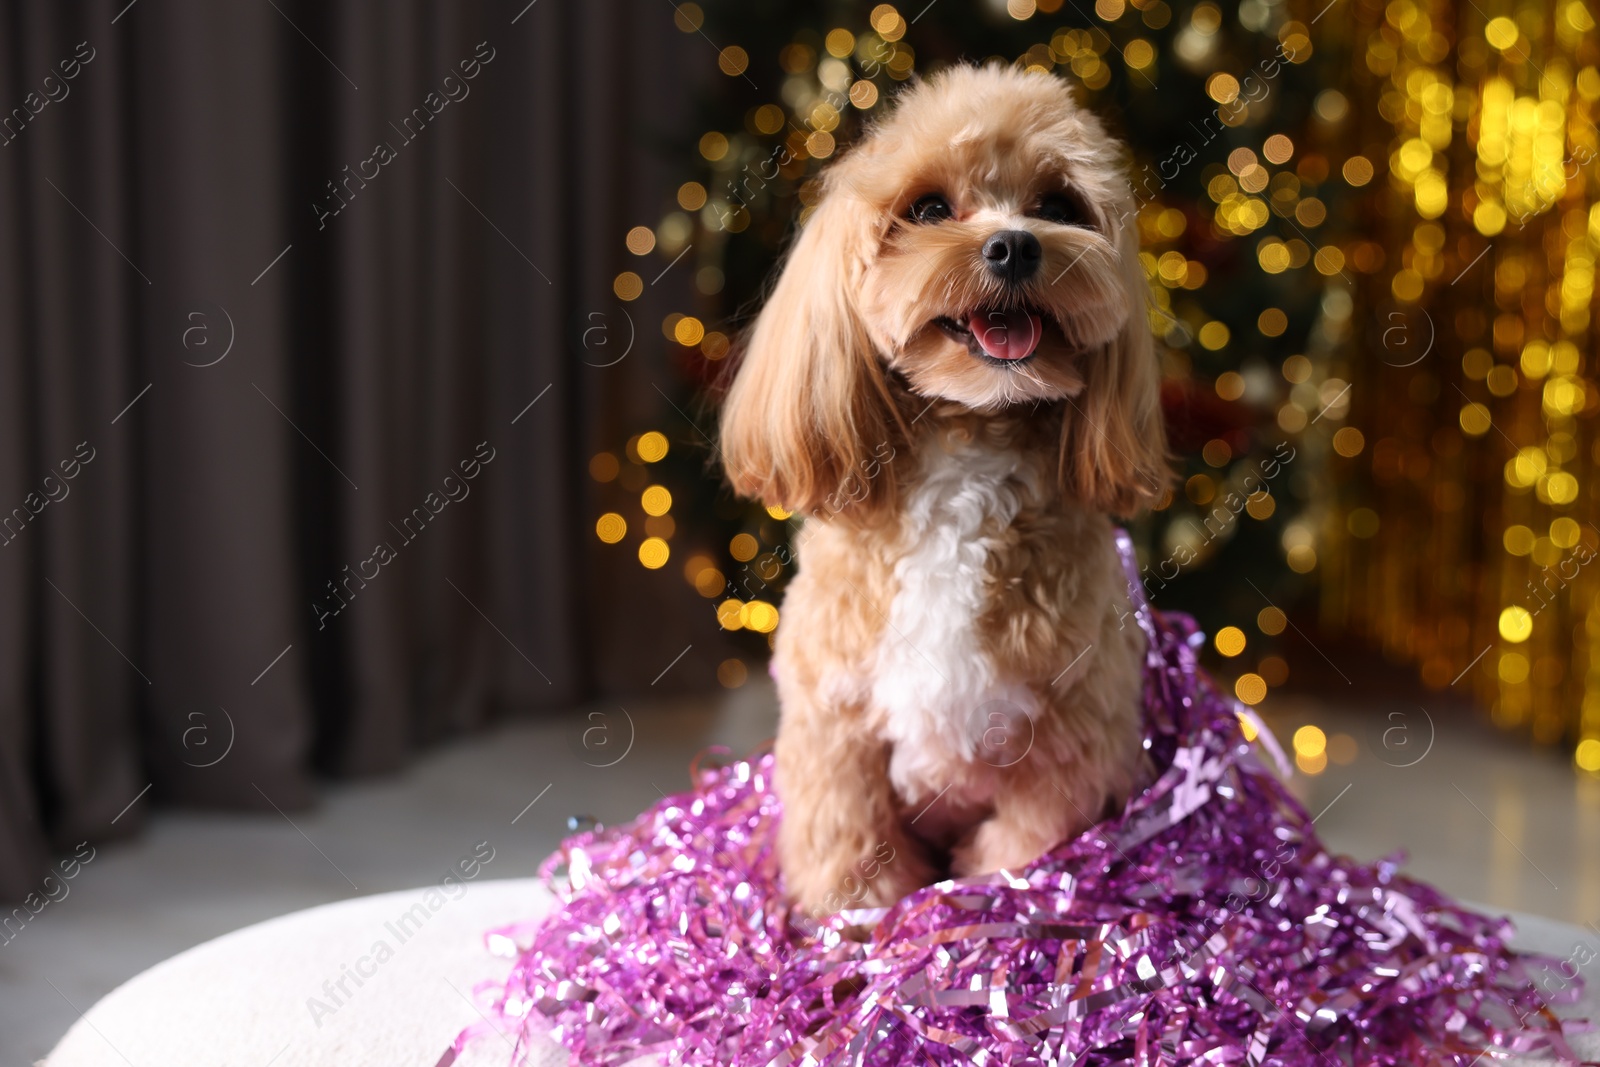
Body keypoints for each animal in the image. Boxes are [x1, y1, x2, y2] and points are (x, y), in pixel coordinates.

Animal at [720, 66, 1171, 915]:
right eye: (929, 209)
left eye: (1058, 206)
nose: (1016, 244)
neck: (969, 448)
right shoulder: (835, 724)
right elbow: (847, 836)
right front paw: (855, 917)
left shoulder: (1073, 735)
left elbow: (1024, 843)